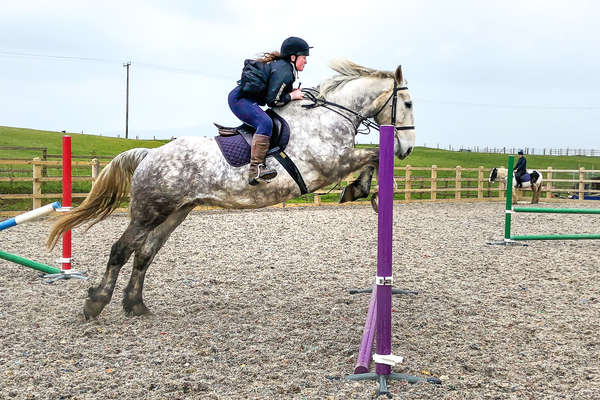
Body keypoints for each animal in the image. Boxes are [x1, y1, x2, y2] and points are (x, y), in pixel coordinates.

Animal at [47, 58, 418, 318]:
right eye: (409, 104)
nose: (408, 149)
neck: (327, 117)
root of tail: (150, 155)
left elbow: (372, 157)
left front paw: (364, 190)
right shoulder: (330, 163)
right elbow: (372, 155)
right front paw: (364, 190)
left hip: (176, 212)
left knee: (145, 253)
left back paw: (136, 305)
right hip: (149, 212)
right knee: (122, 250)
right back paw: (96, 304)